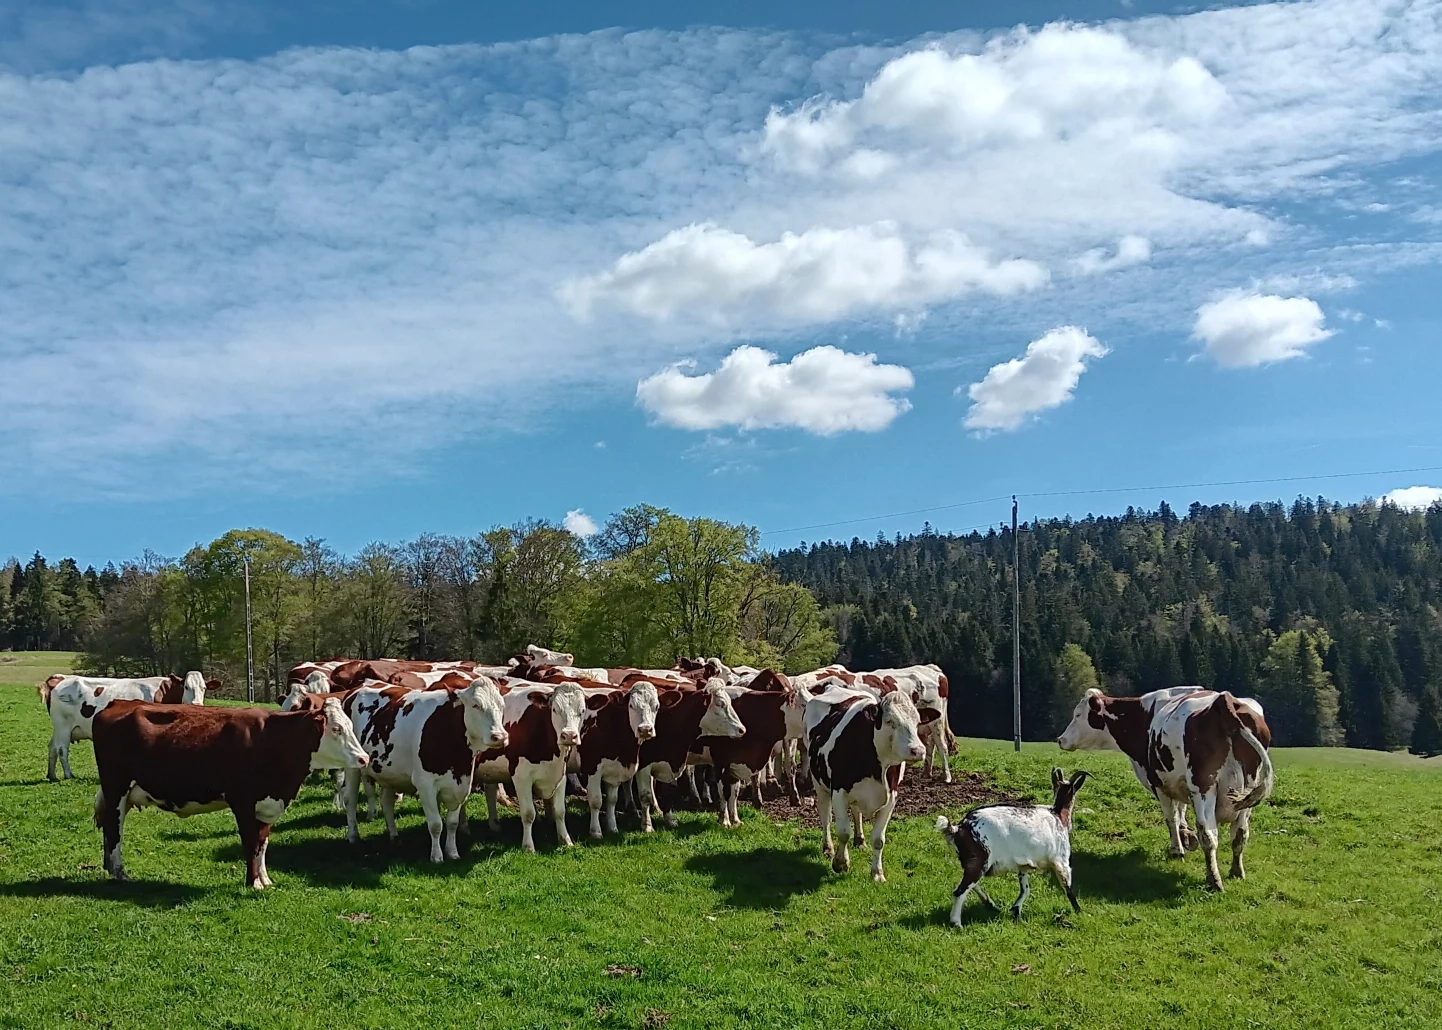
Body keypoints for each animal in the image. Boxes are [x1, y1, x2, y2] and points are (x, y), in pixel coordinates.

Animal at [936, 768, 1089, 926]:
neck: (1058, 815)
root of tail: (959, 828)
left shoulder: (1023, 866)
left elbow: (1025, 890)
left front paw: (1015, 910)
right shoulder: (1061, 862)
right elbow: (1068, 888)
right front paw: (1079, 911)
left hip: (973, 862)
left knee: (970, 885)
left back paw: (990, 904)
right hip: (980, 860)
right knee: (960, 891)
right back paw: (956, 923)